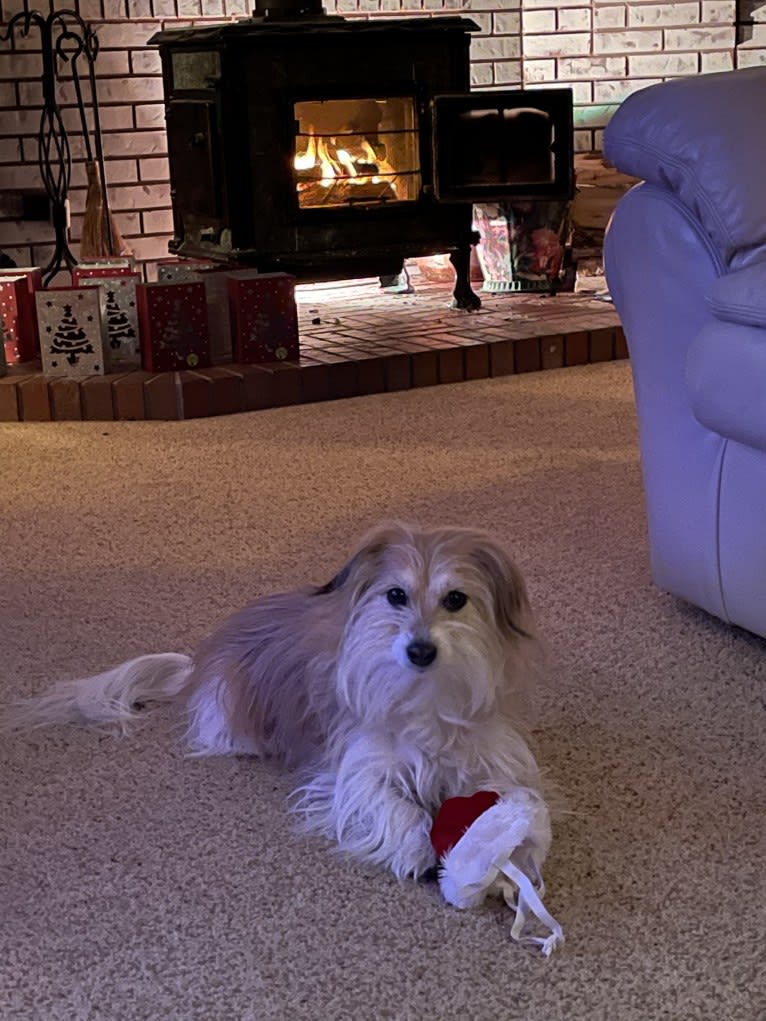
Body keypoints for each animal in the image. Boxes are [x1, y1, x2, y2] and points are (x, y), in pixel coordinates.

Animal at [3, 522, 547, 882]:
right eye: (396, 595)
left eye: (456, 600)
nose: (420, 649)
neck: (422, 696)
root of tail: (197, 666)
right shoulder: (355, 772)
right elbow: (396, 808)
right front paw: (415, 848)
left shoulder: (493, 761)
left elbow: (514, 802)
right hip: (230, 718)